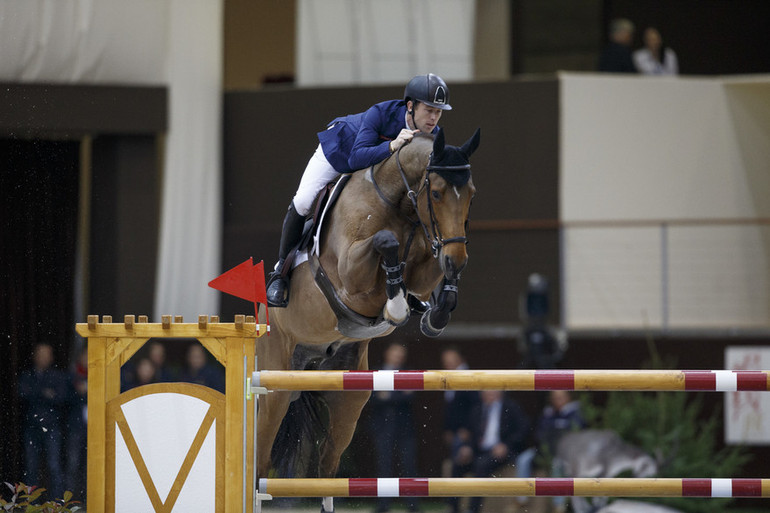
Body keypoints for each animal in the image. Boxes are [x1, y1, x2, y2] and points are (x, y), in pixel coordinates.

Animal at [255, 126, 476, 510]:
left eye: (471, 196)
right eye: (435, 192)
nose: (458, 261)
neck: (400, 204)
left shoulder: (424, 262)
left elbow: (423, 272)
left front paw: (436, 309)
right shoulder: (350, 279)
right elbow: (385, 243)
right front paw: (397, 305)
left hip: (349, 398)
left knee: (327, 469)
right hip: (274, 389)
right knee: (259, 462)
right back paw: (277, 287)